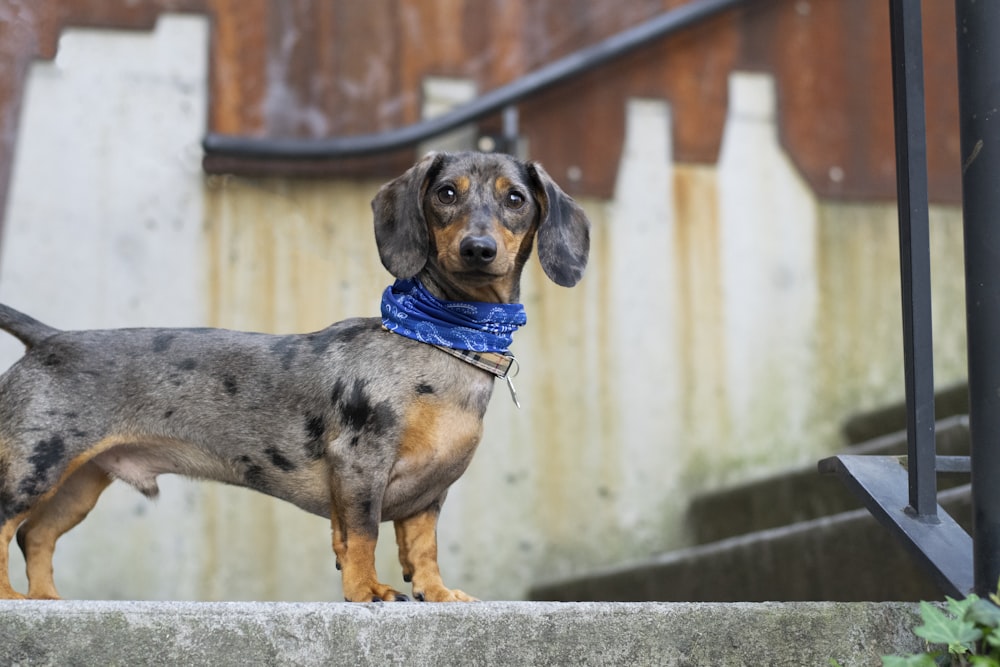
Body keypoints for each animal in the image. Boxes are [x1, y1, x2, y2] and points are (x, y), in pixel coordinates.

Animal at [0, 153, 588, 604]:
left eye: (516, 199)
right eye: (446, 193)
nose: (478, 249)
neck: (440, 337)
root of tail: (49, 338)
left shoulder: (428, 493)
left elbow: (422, 549)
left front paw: (437, 594)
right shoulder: (360, 465)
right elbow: (361, 536)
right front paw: (367, 591)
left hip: (78, 481)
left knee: (36, 536)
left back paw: (46, 599)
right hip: (34, 467)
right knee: (6, 527)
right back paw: (13, 599)